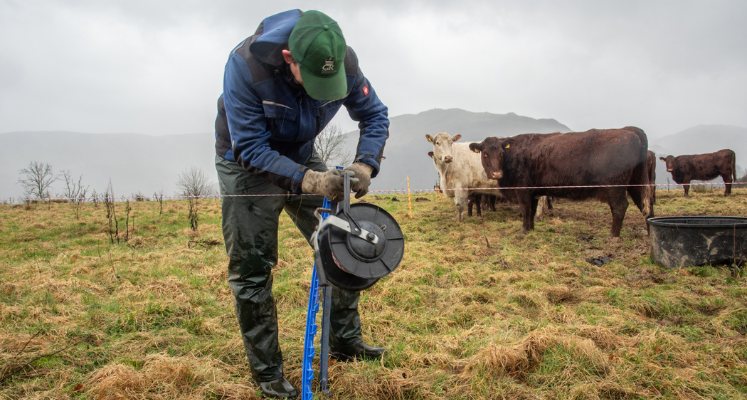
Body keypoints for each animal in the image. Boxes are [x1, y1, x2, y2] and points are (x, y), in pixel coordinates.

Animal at [470, 126, 652, 236]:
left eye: (501, 153)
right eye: (485, 153)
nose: (496, 173)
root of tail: (628, 130)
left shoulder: (523, 190)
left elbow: (525, 210)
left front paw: (523, 231)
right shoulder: (534, 192)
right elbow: (531, 211)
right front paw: (531, 229)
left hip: (615, 186)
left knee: (620, 207)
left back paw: (613, 235)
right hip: (635, 184)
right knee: (646, 206)